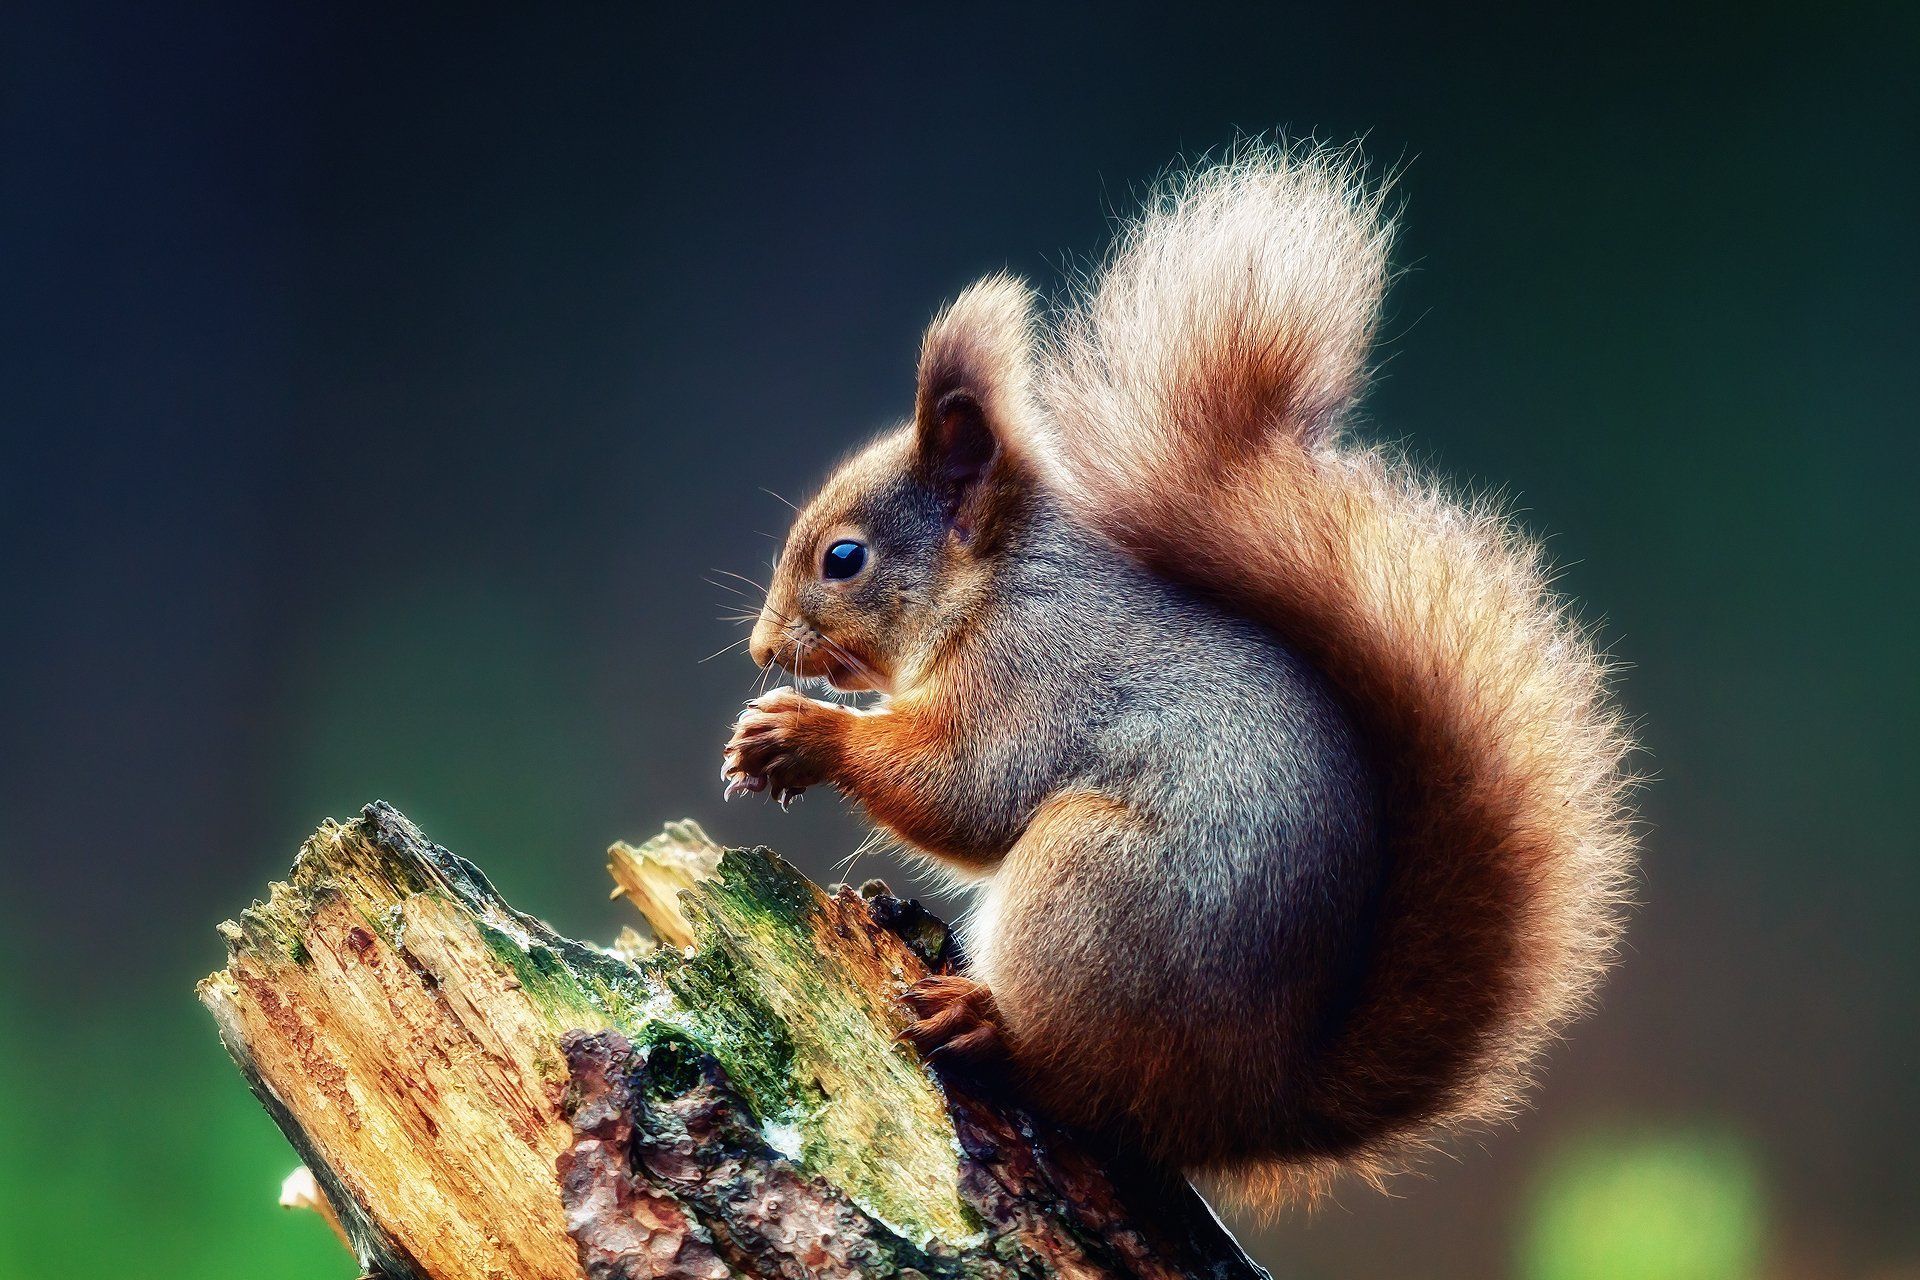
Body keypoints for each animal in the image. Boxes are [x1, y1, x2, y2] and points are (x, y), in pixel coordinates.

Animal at [720, 144, 1636, 1202]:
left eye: (844, 559)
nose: (762, 648)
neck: (998, 585)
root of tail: (1249, 1107)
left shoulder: (1036, 671)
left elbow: (970, 790)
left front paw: (798, 734)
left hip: (1093, 886)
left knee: (1079, 1079)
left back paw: (983, 1025)